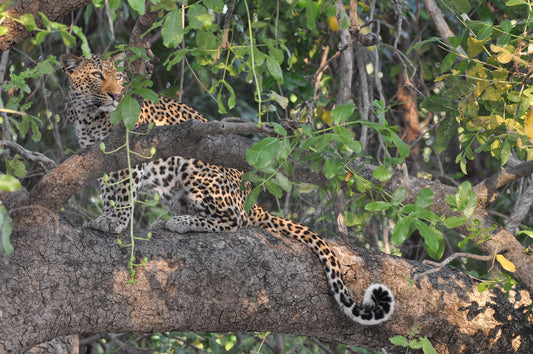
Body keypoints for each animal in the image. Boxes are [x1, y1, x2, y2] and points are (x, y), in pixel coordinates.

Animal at [61, 52, 394, 326]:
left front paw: (116, 222)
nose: (116, 95)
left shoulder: (131, 155)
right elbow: (109, 192)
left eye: (119, 77)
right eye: (97, 75)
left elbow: (124, 194)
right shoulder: (100, 159)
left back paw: (180, 222)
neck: (89, 115)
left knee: (233, 220)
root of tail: (250, 199)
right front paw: (106, 217)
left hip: (199, 170)